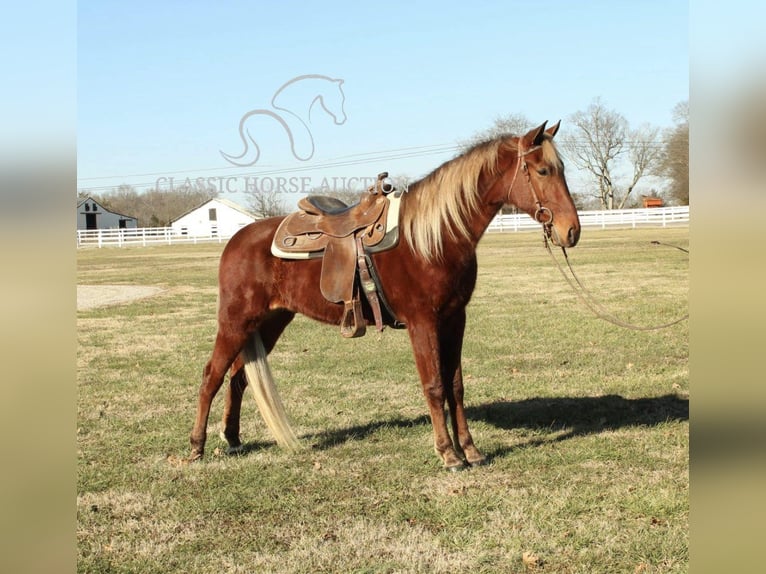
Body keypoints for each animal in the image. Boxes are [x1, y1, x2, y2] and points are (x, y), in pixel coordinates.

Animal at [190, 121, 584, 472]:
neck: (434, 237)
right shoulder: (423, 322)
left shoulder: (455, 318)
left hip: (270, 321)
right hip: (236, 320)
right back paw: (197, 446)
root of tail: (236, 240)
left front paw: (470, 450)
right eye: (544, 170)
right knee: (212, 375)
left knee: (238, 377)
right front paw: (448, 454)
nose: (571, 231)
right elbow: (434, 385)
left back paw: (233, 438)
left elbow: (455, 386)